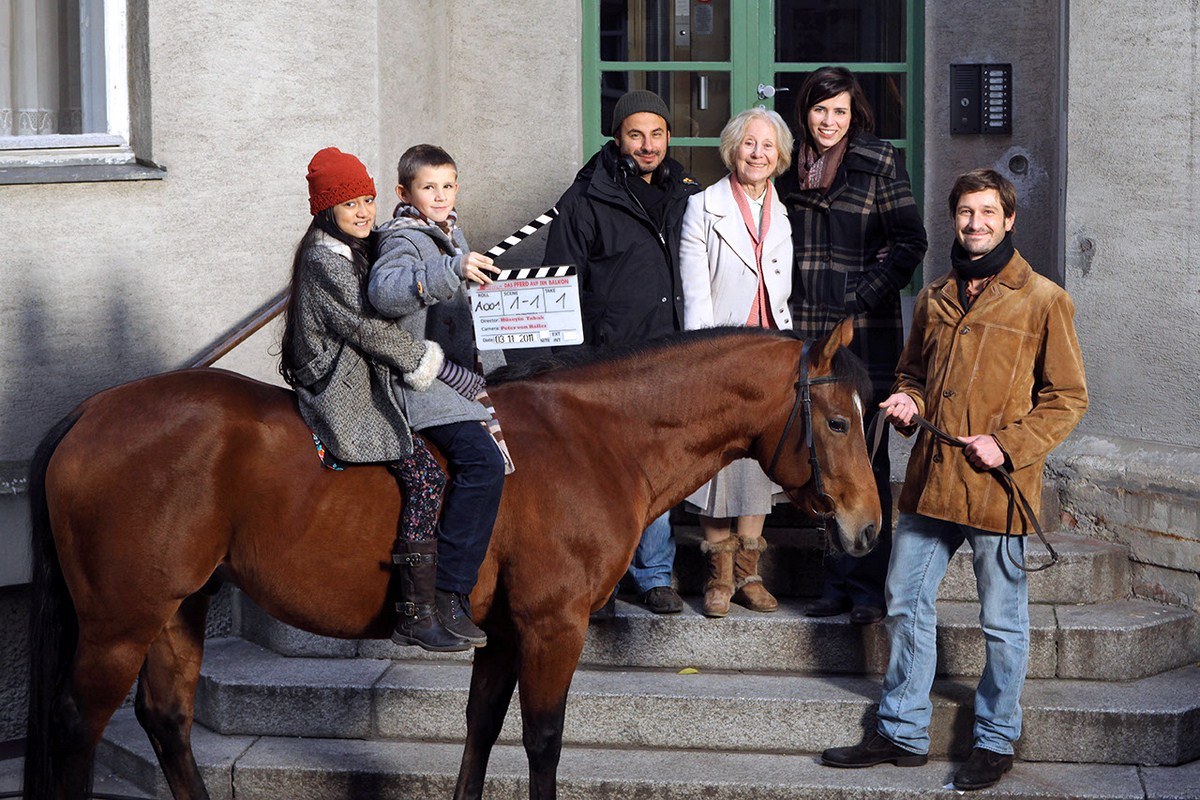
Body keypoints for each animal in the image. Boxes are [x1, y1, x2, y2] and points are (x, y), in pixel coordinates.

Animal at [21, 319, 883, 800]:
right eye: (839, 421)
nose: (870, 528)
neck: (597, 437)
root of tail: (91, 411)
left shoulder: (500, 631)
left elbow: (480, 729)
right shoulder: (551, 625)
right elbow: (542, 741)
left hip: (179, 606)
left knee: (165, 719)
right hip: (120, 621)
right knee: (77, 723)